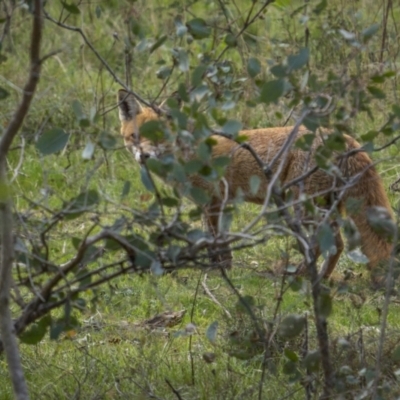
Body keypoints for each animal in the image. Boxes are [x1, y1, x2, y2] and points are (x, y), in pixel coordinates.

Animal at [116, 89, 394, 280]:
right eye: (134, 137)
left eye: (158, 137)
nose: (144, 156)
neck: (187, 152)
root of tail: (344, 137)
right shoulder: (219, 204)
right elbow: (222, 244)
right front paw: (225, 270)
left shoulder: (213, 202)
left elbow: (213, 242)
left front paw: (216, 273)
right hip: (326, 206)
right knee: (338, 245)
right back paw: (322, 279)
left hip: (301, 205)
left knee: (323, 244)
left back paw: (303, 276)